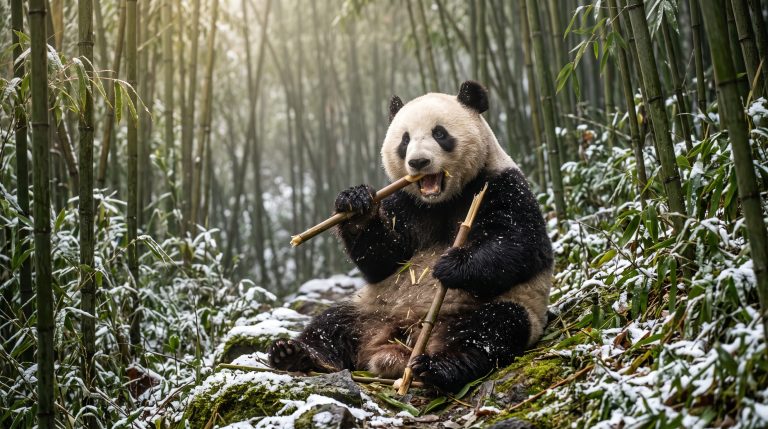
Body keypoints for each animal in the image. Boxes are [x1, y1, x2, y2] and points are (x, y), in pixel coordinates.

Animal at [269, 81, 553, 393]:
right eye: (404, 140)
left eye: (440, 133)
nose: (418, 162)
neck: (441, 200)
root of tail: (397, 344)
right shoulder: (405, 202)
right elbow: (383, 260)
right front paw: (356, 204)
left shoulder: (502, 185)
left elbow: (521, 245)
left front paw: (451, 265)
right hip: (370, 308)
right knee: (331, 324)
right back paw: (293, 353)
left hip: (496, 308)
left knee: (491, 330)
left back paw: (437, 368)